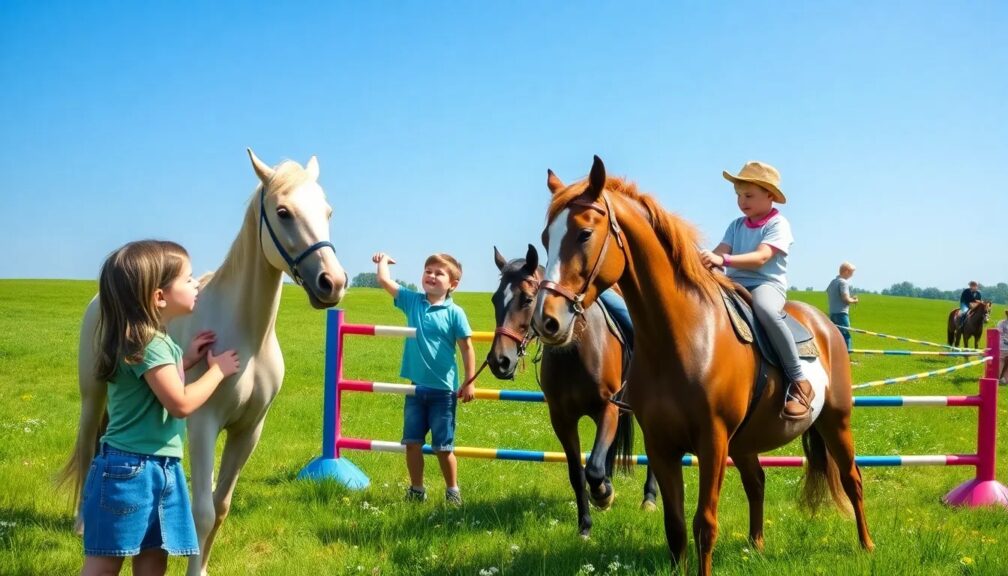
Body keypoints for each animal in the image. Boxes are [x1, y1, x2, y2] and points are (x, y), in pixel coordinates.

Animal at [58, 150, 347, 576]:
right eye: (283, 212)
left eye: (327, 211)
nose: (333, 282)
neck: (247, 337)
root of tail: (101, 300)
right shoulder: (203, 424)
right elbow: (203, 512)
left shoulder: (248, 431)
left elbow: (220, 506)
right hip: (92, 398)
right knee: (86, 447)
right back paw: (81, 524)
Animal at [487, 244, 657, 538]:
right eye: (495, 299)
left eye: (527, 299)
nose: (500, 361)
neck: (576, 348)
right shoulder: (562, 418)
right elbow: (579, 473)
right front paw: (586, 524)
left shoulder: (607, 408)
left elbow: (594, 468)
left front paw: (603, 495)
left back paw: (648, 498)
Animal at [531, 156, 873, 575]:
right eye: (545, 239)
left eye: (583, 234)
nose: (547, 320)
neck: (683, 336)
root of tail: (826, 325)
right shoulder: (661, 444)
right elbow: (676, 525)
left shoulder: (712, 443)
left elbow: (704, 525)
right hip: (745, 442)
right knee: (757, 482)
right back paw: (756, 545)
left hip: (835, 421)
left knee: (853, 479)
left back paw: (867, 545)